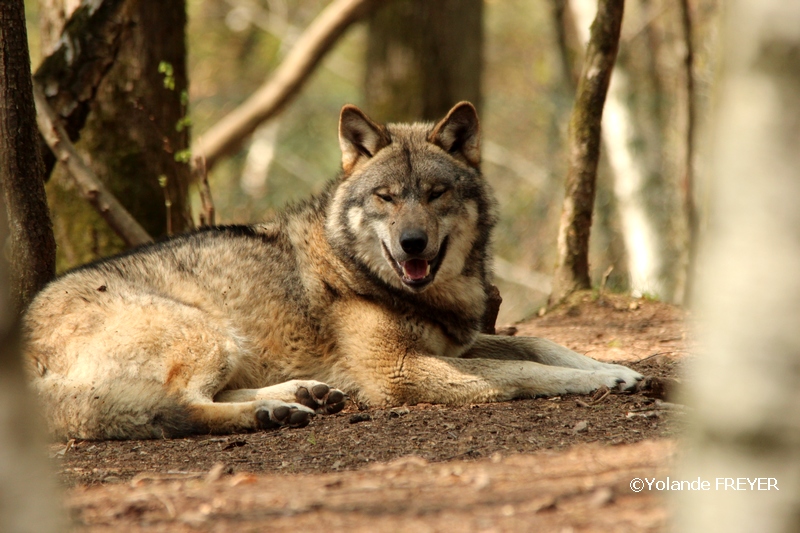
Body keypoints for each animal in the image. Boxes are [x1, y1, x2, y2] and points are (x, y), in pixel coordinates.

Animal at [21, 102, 640, 438]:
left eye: (435, 193)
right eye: (387, 197)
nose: (412, 244)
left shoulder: (452, 345)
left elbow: (537, 342)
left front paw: (615, 366)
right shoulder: (399, 372)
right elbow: (517, 374)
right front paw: (597, 381)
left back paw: (302, 396)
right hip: (204, 334)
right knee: (180, 407)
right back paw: (270, 413)